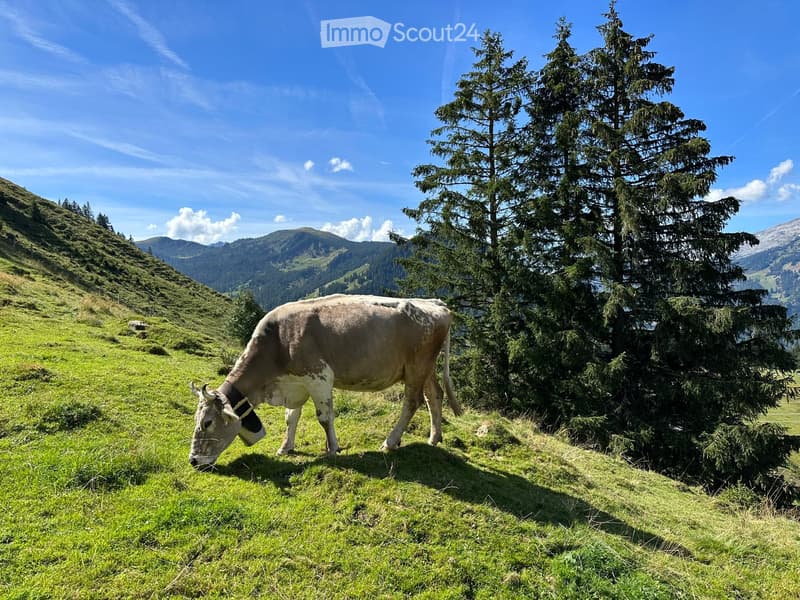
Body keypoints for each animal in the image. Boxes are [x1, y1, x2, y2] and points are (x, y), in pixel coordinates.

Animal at [189, 294, 462, 469]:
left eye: (207, 422)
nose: (193, 460)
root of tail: (434, 302)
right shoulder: (296, 383)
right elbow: (291, 417)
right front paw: (286, 447)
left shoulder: (318, 378)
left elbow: (324, 417)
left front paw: (332, 449)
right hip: (425, 368)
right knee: (434, 395)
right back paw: (434, 437)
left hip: (417, 367)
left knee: (412, 402)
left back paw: (390, 442)